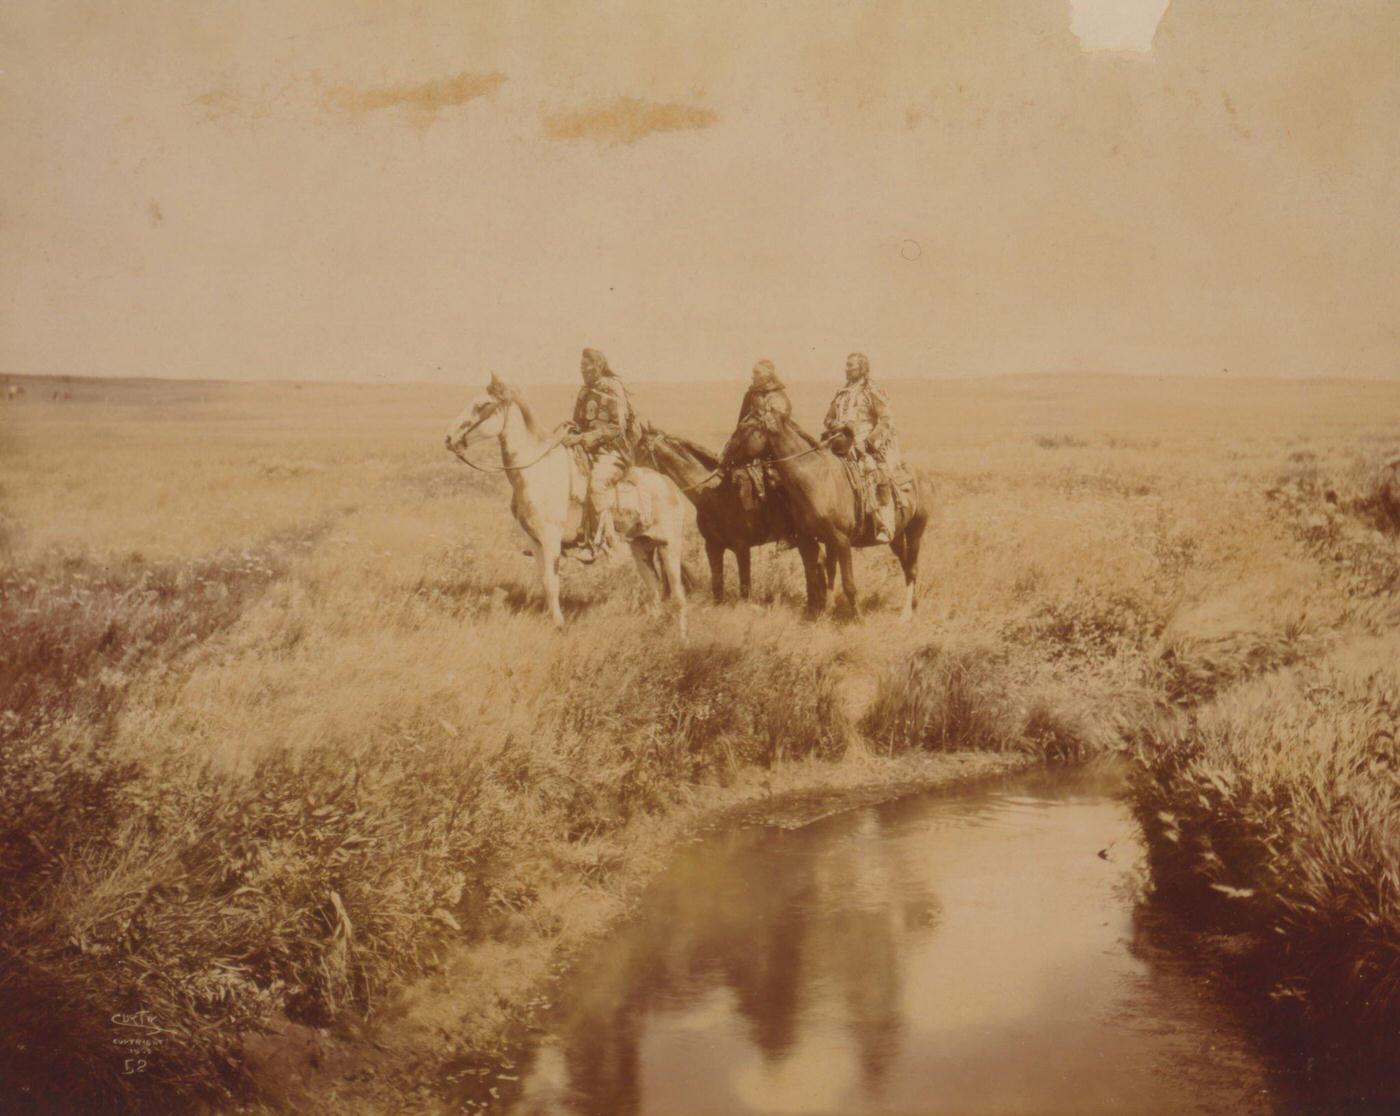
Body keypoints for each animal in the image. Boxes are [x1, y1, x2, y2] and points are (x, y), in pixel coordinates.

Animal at [442, 375, 688, 635]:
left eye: (482, 405)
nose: (448, 439)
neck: (538, 471)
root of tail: (670, 487)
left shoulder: (551, 539)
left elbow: (552, 583)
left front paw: (559, 625)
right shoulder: (535, 540)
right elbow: (544, 581)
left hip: (669, 545)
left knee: (678, 593)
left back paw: (681, 637)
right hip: (641, 546)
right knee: (654, 587)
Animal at [638, 425, 828, 610]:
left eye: (640, 449)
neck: (716, 494)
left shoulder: (742, 547)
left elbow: (744, 586)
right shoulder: (712, 546)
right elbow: (717, 584)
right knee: (816, 562)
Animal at [733, 408, 929, 618]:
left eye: (744, 428)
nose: (723, 459)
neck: (818, 479)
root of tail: (922, 476)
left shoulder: (842, 541)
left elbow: (848, 583)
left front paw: (858, 618)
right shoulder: (813, 540)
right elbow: (824, 575)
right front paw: (823, 613)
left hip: (915, 531)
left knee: (912, 568)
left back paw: (906, 613)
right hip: (897, 536)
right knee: (906, 565)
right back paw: (913, 604)